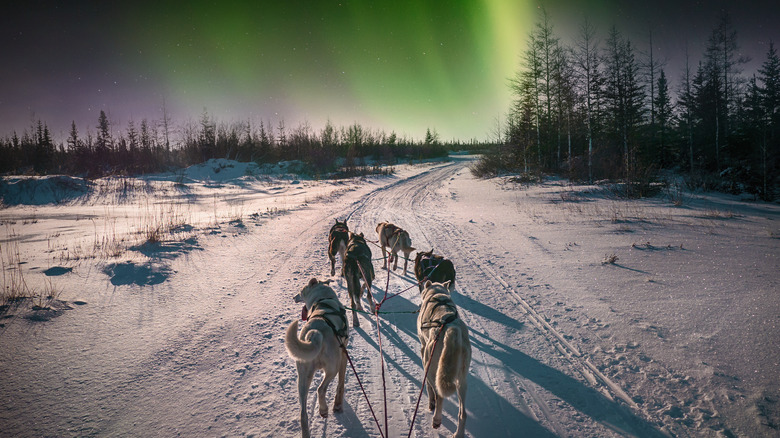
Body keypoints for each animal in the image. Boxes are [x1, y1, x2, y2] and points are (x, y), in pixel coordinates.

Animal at [284, 278, 348, 436]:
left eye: (301, 291)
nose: (294, 297)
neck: (323, 300)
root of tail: (314, 333)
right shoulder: (343, 356)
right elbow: (341, 384)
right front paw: (338, 405)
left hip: (302, 378)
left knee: (303, 414)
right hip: (332, 368)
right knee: (321, 389)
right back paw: (324, 410)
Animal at [418, 280, 472, 438]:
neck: (437, 294)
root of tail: (451, 329)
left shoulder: (423, 349)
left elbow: (429, 388)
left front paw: (431, 403)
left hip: (430, 365)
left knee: (439, 395)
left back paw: (436, 419)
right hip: (462, 380)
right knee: (463, 414)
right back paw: (459, 434)